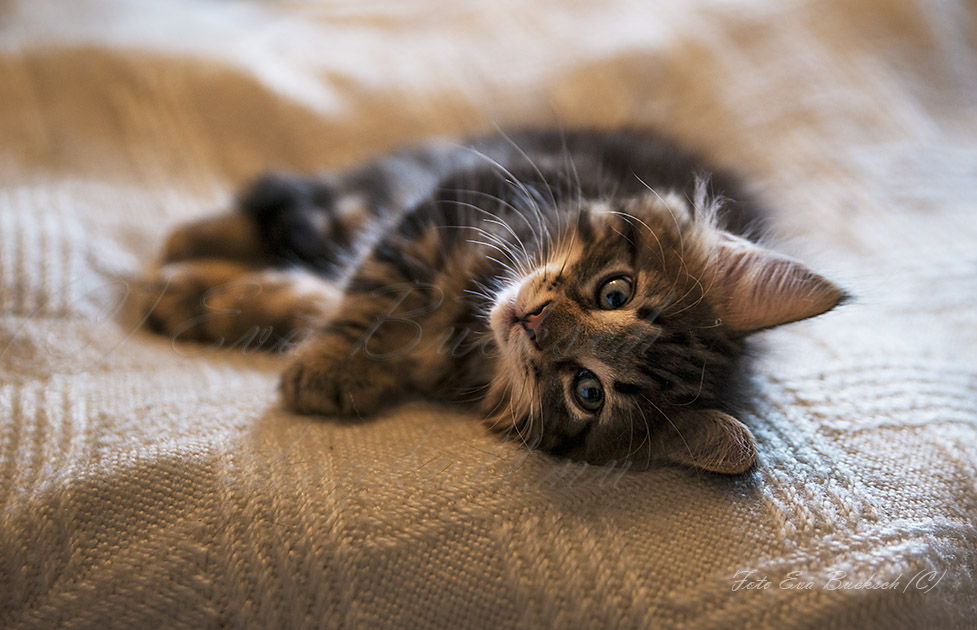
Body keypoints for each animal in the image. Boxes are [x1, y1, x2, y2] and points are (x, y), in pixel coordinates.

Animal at [147, 128, 848, 474]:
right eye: (615, 291)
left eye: (588, 392)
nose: (533, 322)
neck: (469, 327)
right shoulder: (446, 204)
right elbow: (377, 290)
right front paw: (330, 365)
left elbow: (343, 299)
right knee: (315, 203)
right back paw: (190, 244)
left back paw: (189, 289)